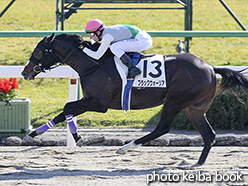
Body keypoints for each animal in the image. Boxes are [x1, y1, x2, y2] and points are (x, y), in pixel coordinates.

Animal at [21, 33, 248, 166]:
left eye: (38, 51)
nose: (25, 72)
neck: (93, 64)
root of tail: (210, 67)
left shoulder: (99, 103)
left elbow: (67, 107)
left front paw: (75, 138)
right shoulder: (91, 100)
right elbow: (66, 110)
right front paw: (36, 134)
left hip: (175, 101)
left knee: (162, 128)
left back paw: (125, 148)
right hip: (195, 108)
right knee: (208, 135)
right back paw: (198, 163)